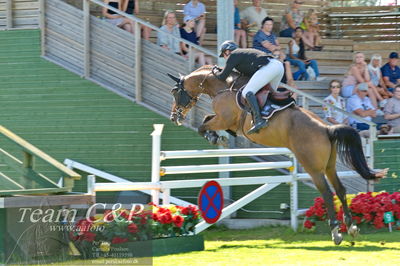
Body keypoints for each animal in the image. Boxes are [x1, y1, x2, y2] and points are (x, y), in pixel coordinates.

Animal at [166, 66, 388, 245]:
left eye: (175, 92)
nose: (174, 117)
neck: (223, 86)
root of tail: (327, 128)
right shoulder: (225, 121)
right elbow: (206, 119)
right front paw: (218, 137)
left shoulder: (223, 119)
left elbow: (203, 125)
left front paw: (215, 138)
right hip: (329, 166)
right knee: (340, 190)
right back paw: (351, 227)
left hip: (313, 167)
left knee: (326, 192)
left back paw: (336, 232)